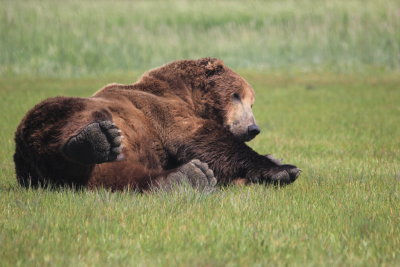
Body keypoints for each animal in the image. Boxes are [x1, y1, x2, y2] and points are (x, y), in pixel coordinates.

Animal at [13, 58, 300, 193]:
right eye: (236, 95)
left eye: (253, 103)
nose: (253, 129)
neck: (185, 93)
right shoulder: (162, 110)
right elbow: (201, 139)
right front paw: (285, 169)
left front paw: (275, 160)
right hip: (61, 112)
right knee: (63, 118)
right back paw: (96, 139)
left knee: (121, 177)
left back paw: (188, 177)